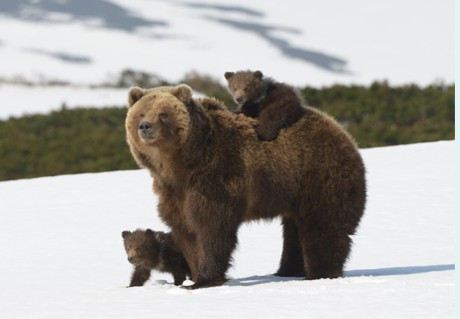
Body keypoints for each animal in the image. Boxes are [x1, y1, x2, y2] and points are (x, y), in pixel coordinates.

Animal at [126, 84, 366, 290]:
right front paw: (192, 276)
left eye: (163, 113)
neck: (180, 166)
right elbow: (186, 231)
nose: (145, 127)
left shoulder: (215, 179)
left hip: (319, 176)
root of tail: (341, 131)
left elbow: (211, 228)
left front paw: (204, 279)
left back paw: (319, 273)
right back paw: (288, 271)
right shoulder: (173, 193)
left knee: (323, 226)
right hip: (293, 192)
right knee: (294, 231)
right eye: (141, 113)